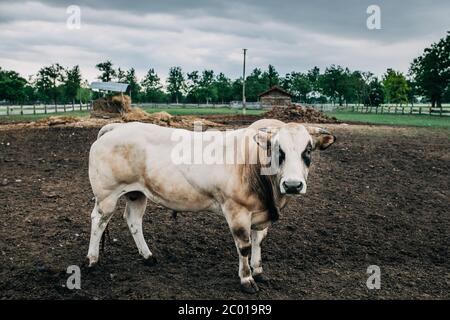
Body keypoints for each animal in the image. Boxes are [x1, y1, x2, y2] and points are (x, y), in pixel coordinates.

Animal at [87, 119, 334, 294]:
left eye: (308, 150)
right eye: (277, 150)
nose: (292, 185)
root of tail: (117, 127)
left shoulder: (260, 215)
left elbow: (258, 242)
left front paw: (259, 270)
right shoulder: (237, 211)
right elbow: (244, 246)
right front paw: (247, 279)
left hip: (136, 194)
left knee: (133, 220)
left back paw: (148, 256)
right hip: (107, 195)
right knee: (98, 221)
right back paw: (93, 260)